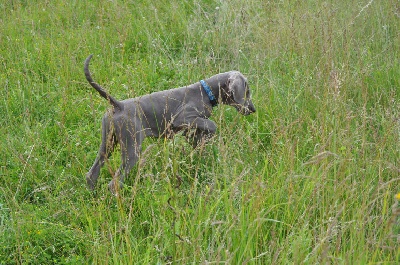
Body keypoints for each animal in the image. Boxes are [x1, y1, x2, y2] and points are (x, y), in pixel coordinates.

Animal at [83, 54, 256, 193]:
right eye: (247, 91)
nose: (253, 109)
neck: (206, 91)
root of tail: (118, 105)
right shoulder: (183, 118)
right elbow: (212, 124)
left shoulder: (189, 127)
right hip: (132, 146)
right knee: (113, 183)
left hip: (108, 141)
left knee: (92, 173)